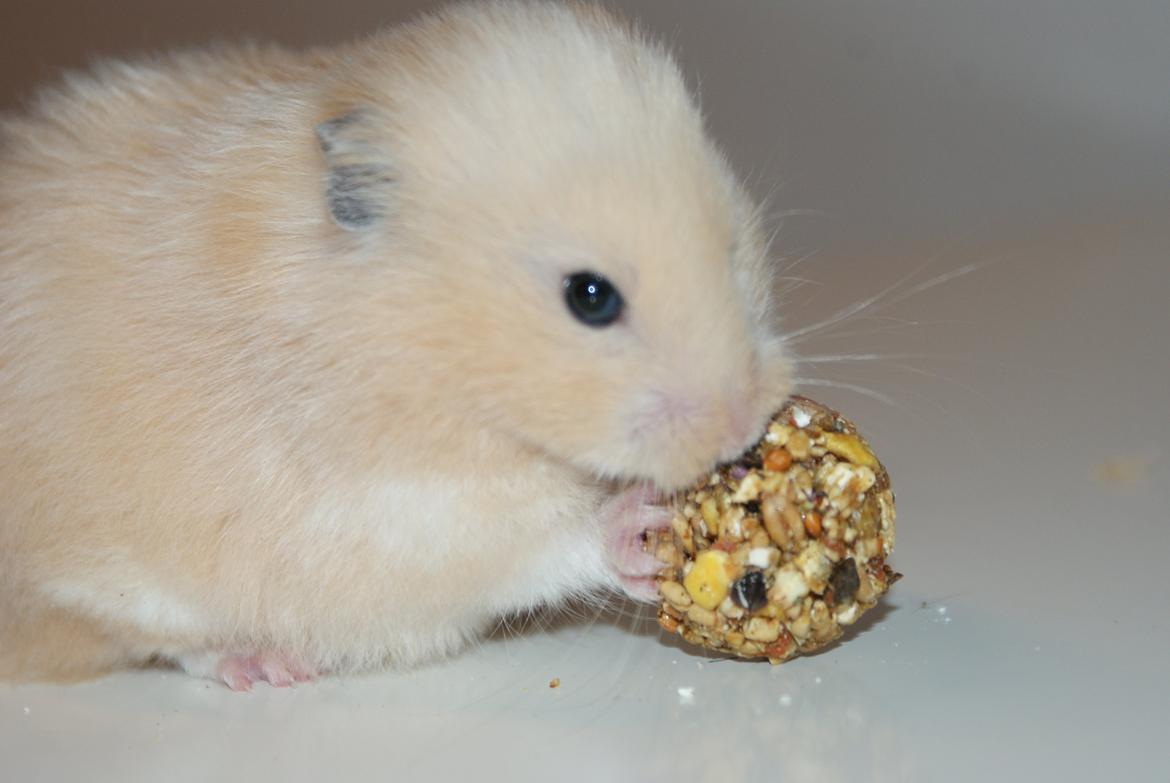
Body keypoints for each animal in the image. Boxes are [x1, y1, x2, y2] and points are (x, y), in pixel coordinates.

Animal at [0, 0, 792, 689]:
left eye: (729, 249)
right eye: (589, 297)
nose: (740, 427)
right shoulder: (397, 515)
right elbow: (531, 542)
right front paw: (642, 527)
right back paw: (264, 665)